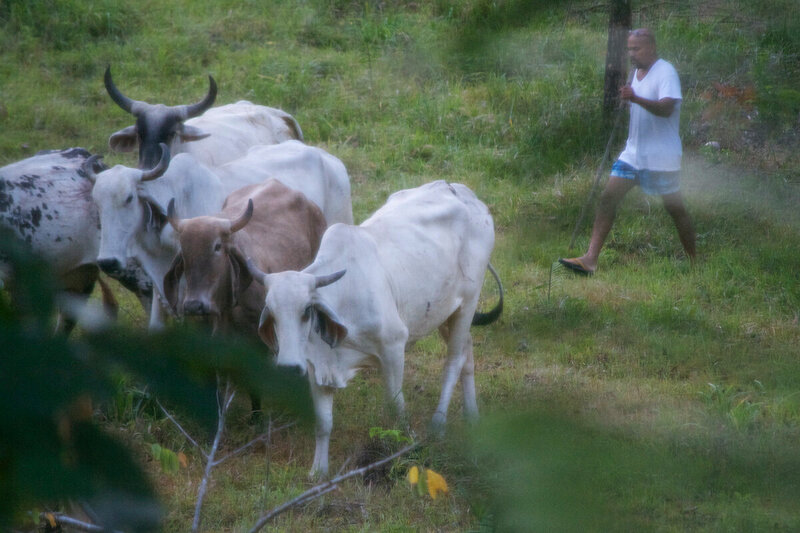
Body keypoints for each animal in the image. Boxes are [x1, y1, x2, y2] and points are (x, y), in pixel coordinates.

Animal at [247, 181, 504, 476]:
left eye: (306, 311)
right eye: (272, 313)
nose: (288, 367)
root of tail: (461, 190)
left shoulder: (393, 348)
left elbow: (396, 409)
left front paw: (405, 450)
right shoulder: (316, 365)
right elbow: (323, 423)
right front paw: (318, 471)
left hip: (468, 303)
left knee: (453, 362)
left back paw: (438, 424)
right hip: (445, 312)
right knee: (467, 353)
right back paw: (472, 417)